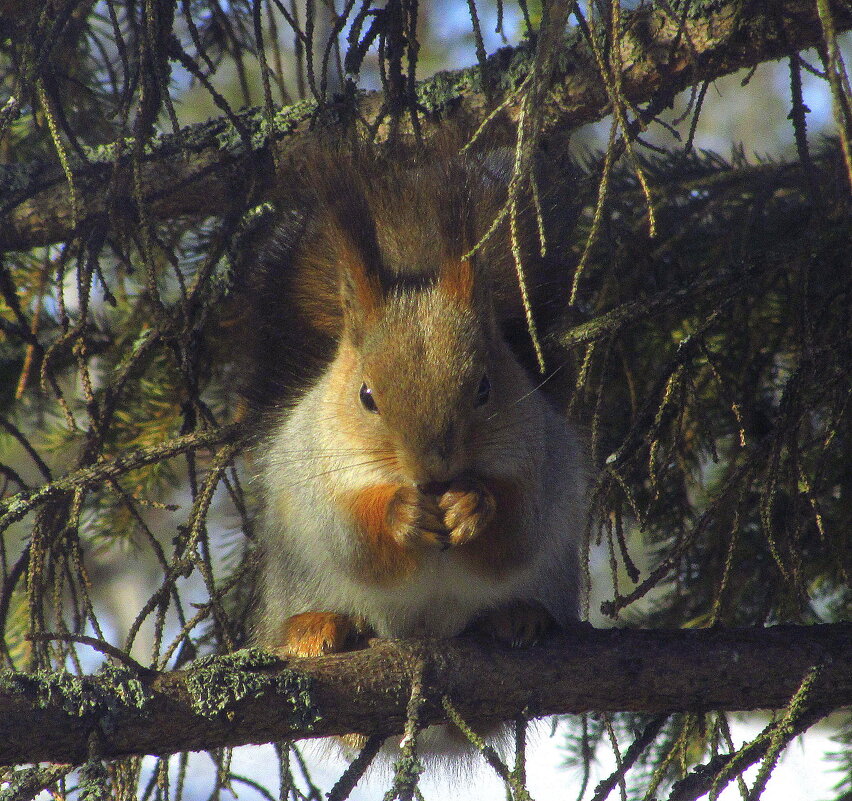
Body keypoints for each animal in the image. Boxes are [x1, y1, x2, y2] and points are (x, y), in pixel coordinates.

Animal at [241, 148, 584, 664]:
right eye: (366, 396)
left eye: (485, 388)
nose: (434, 469)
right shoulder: (315, 472)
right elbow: (355, 541)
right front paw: (401, 513)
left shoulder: (540, 460)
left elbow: (518, 532)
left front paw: (471, 504)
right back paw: (315, 626)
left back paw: (519, 615)